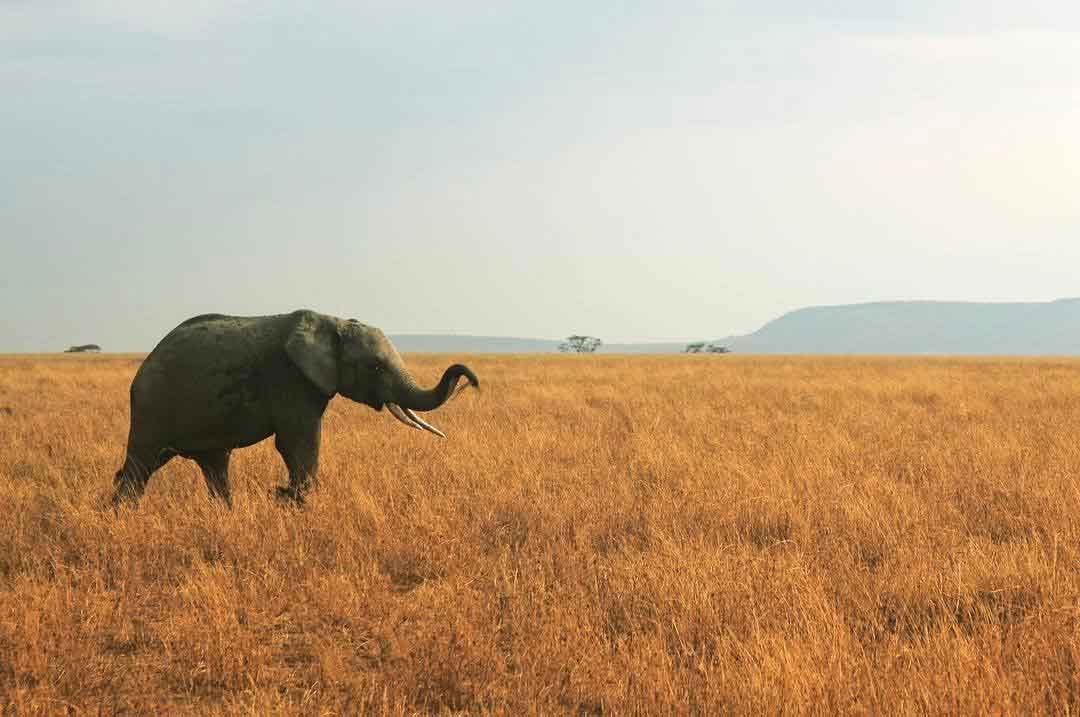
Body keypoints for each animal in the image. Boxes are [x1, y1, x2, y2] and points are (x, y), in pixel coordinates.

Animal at [112, 309, 479, 507]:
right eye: (375, 367)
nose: (472, 380)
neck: (333, 322)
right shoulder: (291, 380)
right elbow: (297, 443)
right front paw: (295, 501)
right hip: (152, 404)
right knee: (142, 462)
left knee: (209, 464)